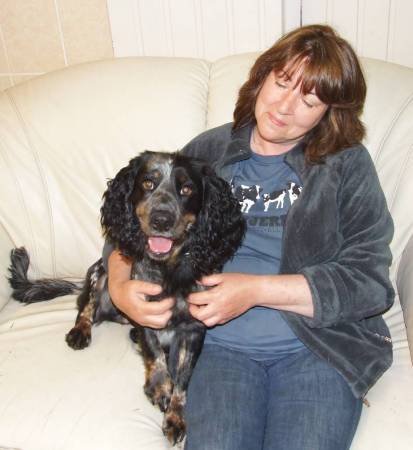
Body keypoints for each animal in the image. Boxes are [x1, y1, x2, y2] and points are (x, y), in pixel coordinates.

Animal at [8, 151, 245, 442]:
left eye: (187, 189)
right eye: (147, 183)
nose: (161, 220)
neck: (169, 268)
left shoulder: (194, 328)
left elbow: (182, 377)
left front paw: (175, 416)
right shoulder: (142, 307)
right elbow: (155, 352)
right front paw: (159, 387)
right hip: (99, 273)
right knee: (86, 306)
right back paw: (80, 331)